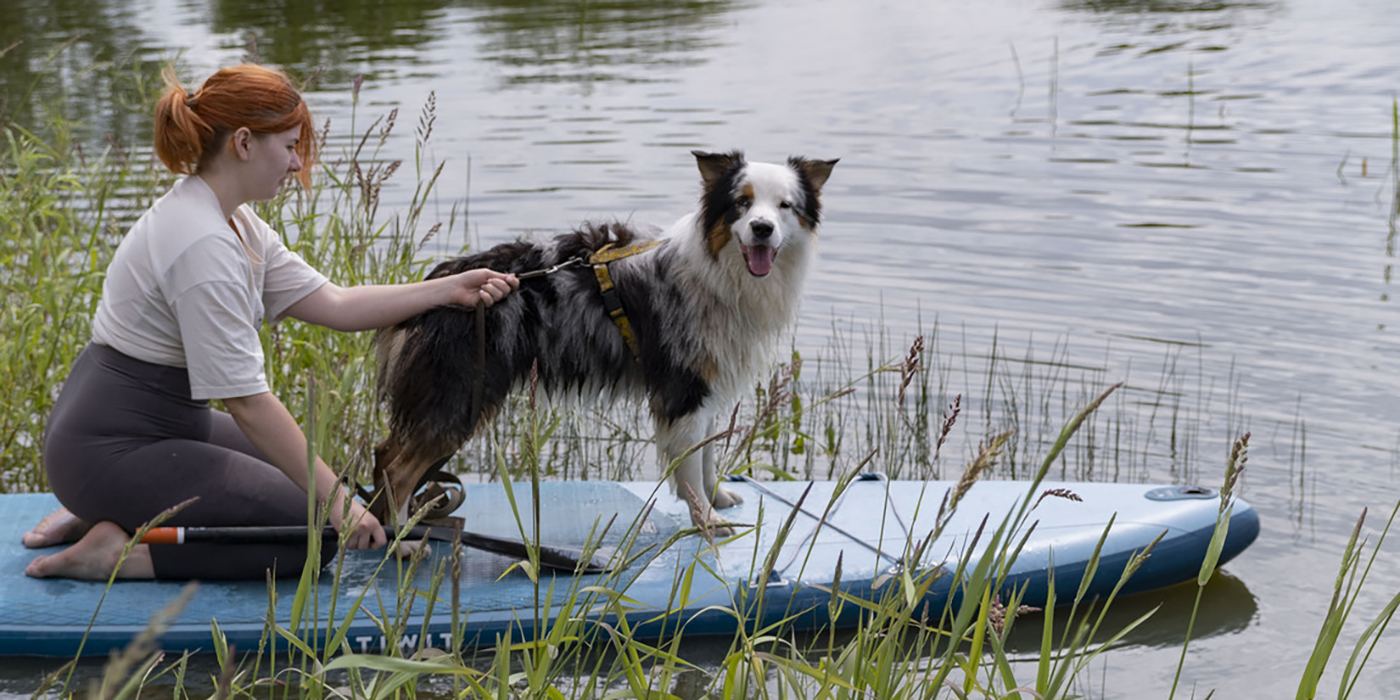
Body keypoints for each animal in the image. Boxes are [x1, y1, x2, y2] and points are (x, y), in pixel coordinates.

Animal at [369, 150, 840, 534]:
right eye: (742, 202)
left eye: (785, 206)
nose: (762, 228)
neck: (721, 272)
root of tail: (434, 281)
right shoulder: (683, 387)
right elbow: (689, 464)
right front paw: (707, 521)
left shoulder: (708, 384)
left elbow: (706, 454)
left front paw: (718, 497)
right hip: (460, 395)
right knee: (397, 468)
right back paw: (402, 538)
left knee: (383, 452)